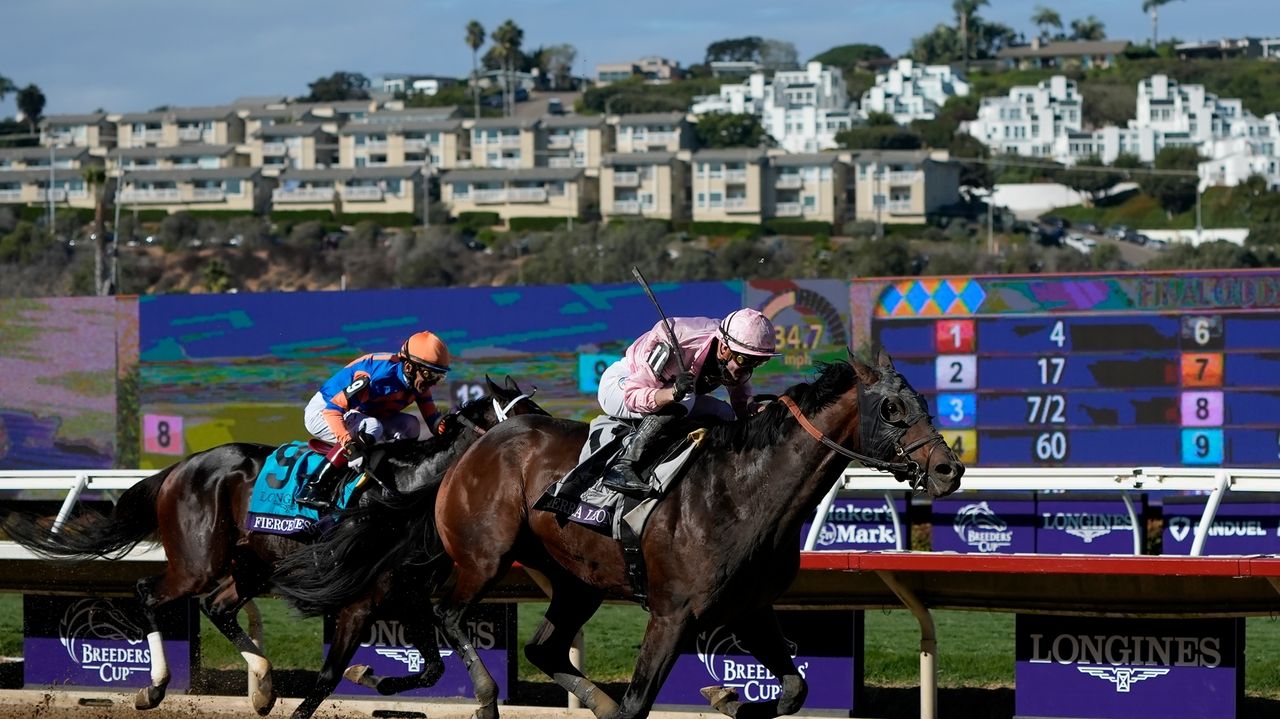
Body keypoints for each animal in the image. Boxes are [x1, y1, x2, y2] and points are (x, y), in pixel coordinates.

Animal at [0, 376, 545, 716]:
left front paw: (374, 678)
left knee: (218, 607)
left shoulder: (406, 595)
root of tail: (180, 467)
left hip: (252, 564)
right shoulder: (357, 600)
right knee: (148, 593)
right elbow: (326, 677)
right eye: (521, 417)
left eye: (536, 411)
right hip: (199, 560)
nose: (552, 440)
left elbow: (431, 668)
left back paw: (262, 686)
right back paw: (153, 690)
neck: (405, 489)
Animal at [275, 350, 962, 716]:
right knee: (445, 609)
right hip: (483, 557)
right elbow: (639, 702)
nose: (948, 468)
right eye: (893, 408)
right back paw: (482, 693)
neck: (745, 493)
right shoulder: (673, 613)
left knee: (543, 648)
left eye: (924, 402)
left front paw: (728, 699)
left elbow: (794, 688)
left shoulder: (750, 609)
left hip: (575, 582)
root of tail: (476, 445)